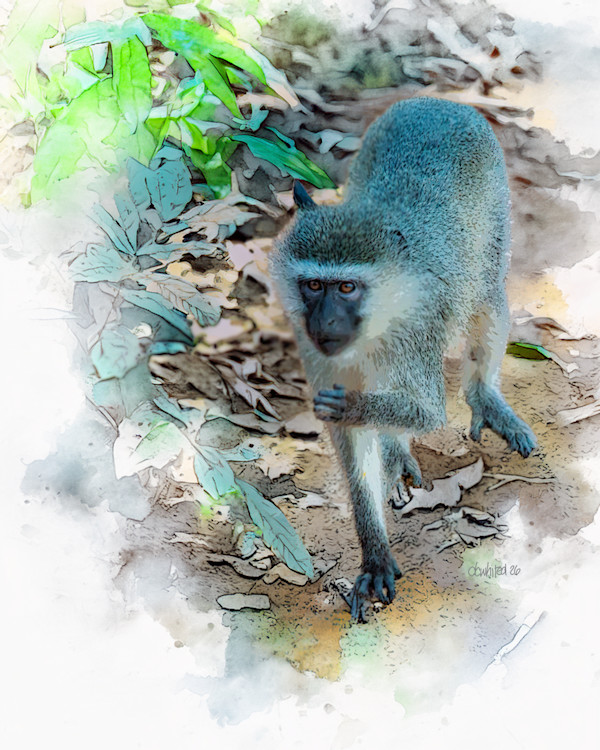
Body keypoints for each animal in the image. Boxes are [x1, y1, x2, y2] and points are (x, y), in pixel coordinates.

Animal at [269, 96, 537, 622]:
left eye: (346, 288)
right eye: (314, 285)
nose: (325, 322)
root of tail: (440, 101)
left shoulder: (415, 336)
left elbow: (426, 411)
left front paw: (354, 407)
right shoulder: (316, 351)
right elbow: (355, 446)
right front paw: (374, 551)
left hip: (495, 214)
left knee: (487, 299)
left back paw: (483, 394)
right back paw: (394, 452)